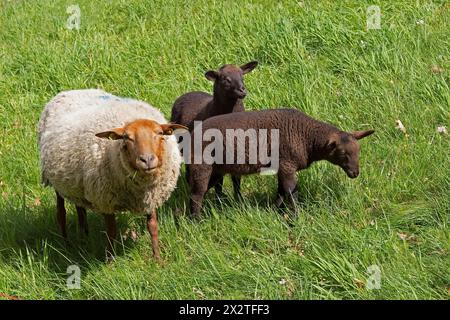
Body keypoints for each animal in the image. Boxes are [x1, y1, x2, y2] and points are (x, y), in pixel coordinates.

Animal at [37, 89, 187, 260]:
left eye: (160, 133)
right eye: (127, 138)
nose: (147, 159)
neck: (140, 187)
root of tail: (69, 91)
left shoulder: (152, 197)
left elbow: (153, 227)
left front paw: (157, 259)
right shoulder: (106, 199)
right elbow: (111, 232)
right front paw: (110, 260)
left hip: (75, 183)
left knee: (80, 208)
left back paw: (84, 236)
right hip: (56, 183)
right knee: (61, 213)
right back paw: (66, 244)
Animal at [171, 61, 258, 199]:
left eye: (242, 76)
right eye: (225, 79)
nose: (242, 90)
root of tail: (185, 94)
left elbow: (236, 178)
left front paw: (238, 199)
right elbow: (219, 180)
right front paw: (219, 198)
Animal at [188, 108, 374, 218]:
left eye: (359, 151)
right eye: (342, 153)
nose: (355, 173)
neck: (308, 138)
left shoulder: (281, 167)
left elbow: (281, 192)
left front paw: (274, 210)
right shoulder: (287, 165)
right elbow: (292, 192)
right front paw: (296, 216)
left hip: (217, 170)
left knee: (198, 192)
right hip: (202, 165)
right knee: (197, 194)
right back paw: (196, 221)